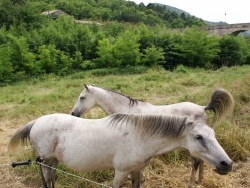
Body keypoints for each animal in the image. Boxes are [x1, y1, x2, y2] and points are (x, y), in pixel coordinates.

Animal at [8, 113, 232, 188]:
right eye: (198, 137)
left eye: (212, 133)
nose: (227, 164)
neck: (140, 136)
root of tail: (37, 122)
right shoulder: (121, 172)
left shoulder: (136, 170)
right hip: (46, 161)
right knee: (47, 181)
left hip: (53, 161)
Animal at [70, 84, 234, 188]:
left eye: (82, 97)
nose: (73, 113)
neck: (127, 110)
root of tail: (203, 108)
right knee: (201, 161)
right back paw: (200, 179)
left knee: (195, 163)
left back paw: (190, 183)